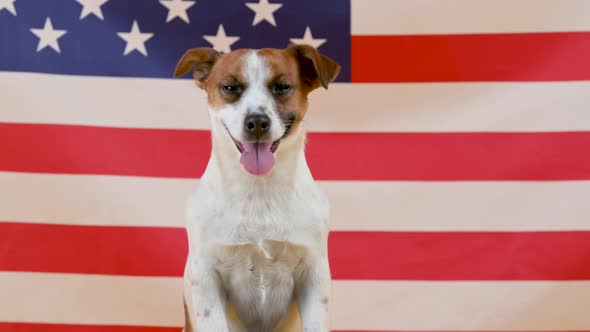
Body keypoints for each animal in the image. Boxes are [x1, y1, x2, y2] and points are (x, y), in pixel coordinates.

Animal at [173, 44, 342, 332]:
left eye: (282, 87)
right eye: (230, 87)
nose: (257, 122)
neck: (259, 191)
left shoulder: (313, 275)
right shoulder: (207, 279)